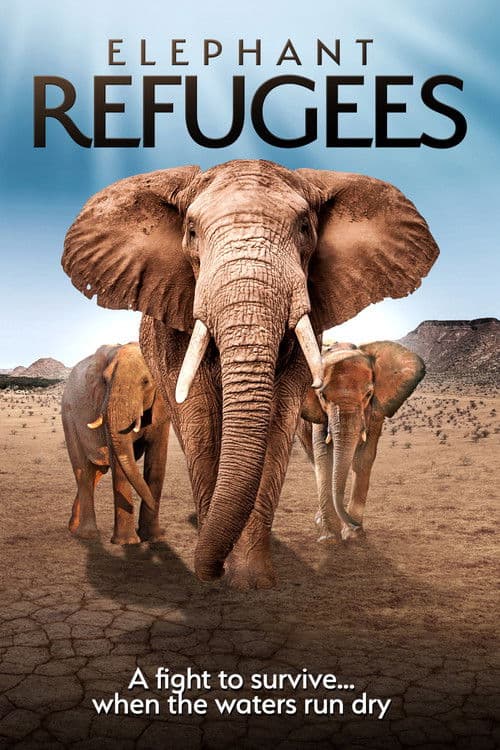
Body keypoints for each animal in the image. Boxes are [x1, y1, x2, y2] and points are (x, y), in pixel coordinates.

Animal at [61, 342, 170, 544]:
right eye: (105, 380)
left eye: (146, 382)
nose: (166, 530)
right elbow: (119, 462)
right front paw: (127, 542)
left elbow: (157, 458)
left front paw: (154, 537)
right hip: (68, 416)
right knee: (83, 471)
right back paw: (87, 535)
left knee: (97, 471)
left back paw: (73, 528)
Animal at [298, 341, 425, 542]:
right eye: (322, 396)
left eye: (368, 394)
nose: (354, 524)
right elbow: (324, 457)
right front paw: (330, 539)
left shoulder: (376, 409)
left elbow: (364, 457)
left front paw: (354, 536)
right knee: (313, 458)